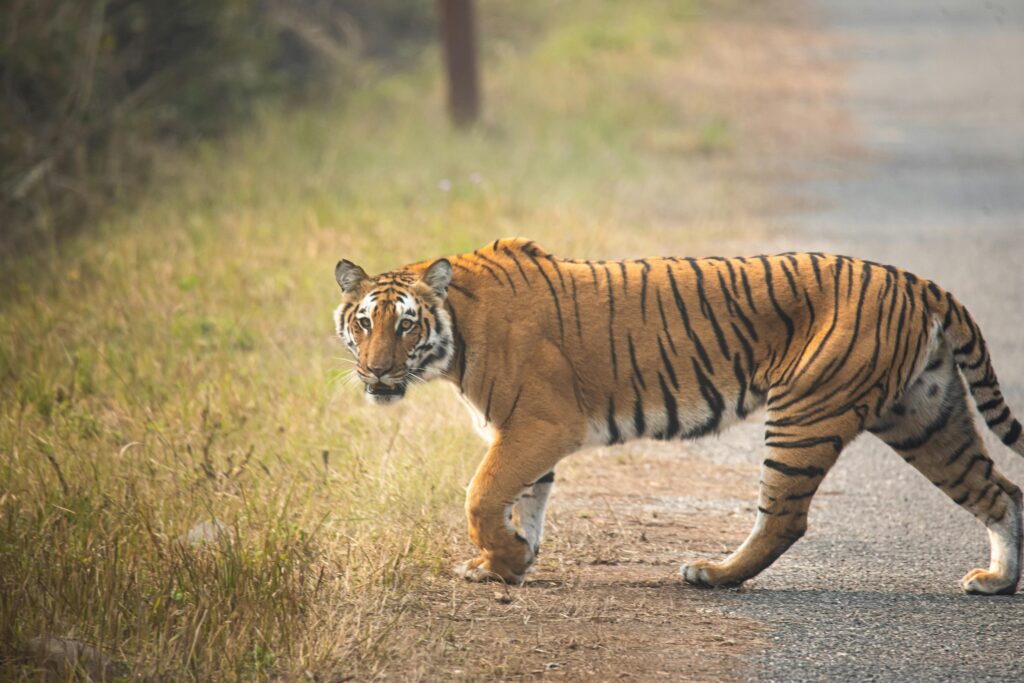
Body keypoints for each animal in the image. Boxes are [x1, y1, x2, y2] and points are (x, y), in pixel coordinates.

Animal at [332, 238, 1024, 595]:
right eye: (363, 323)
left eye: (405, 324)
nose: (375, 373)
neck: (457, 332)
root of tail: (918, 281)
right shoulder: (523, 433)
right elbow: (525, 499)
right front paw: (511, 562)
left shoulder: (540, 425)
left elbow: (481, 494)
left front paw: (499, 560)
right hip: (925, 416)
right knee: (1000, 491)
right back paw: (996, 581)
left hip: (806, 414)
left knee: (785, 517)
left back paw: (712, 574)